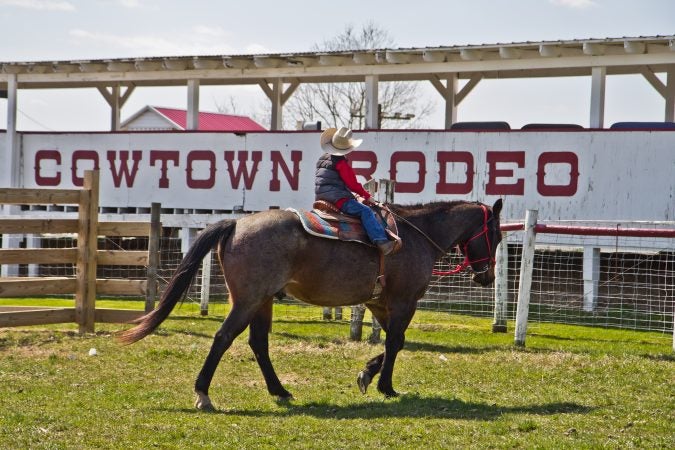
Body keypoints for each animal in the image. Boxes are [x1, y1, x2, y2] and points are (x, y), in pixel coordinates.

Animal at [119, 199, 504, 410]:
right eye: (496, 235)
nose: (485, 277)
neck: (414, 236)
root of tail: (237, 223)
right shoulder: (403, 301)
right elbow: (396, 342)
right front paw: (386, 386)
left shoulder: (381, 304)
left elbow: (393, 343)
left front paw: (367, 373)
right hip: (248, 300)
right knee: (223, 338)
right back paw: (203, 394)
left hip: (262, 301)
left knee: (258, 343)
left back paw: (279, 390)